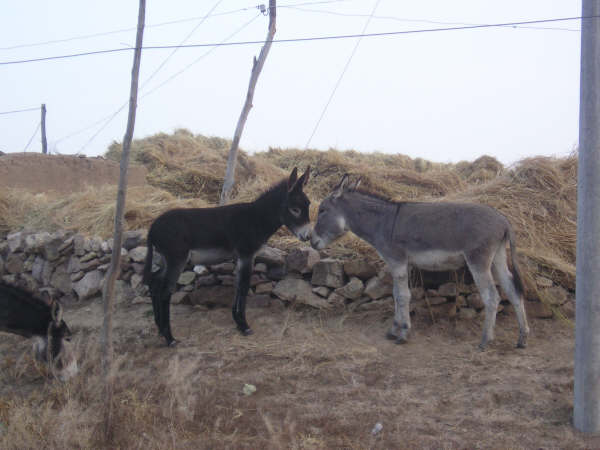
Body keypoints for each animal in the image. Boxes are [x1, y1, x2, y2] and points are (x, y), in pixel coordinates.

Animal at [143, 167, 311, 346]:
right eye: (295, 209)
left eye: (308, 205)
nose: (308, 236)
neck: (256, 219)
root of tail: (152, 228)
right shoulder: (247, 255)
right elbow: (244, 287)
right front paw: (244, 326)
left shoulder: (240, 257)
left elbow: (237, 286)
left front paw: (237, 322)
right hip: (177, 260)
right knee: (164, 292)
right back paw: (170, 338)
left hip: (166, 260)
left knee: (154, 284)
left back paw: (160, 329)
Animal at [310, 174, 529, 350]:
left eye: (322, 210)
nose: (310, 241)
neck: (382, 223)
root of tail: (503, 219)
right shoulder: (401, 264)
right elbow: (395, 294)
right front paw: (394, 330)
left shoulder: (397, 261)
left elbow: (402, 296)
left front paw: (403, 333)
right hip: (498, 257)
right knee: (512, 290)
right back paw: (522, 338)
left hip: (478, 260)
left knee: (492, 296)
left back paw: (485, 341)